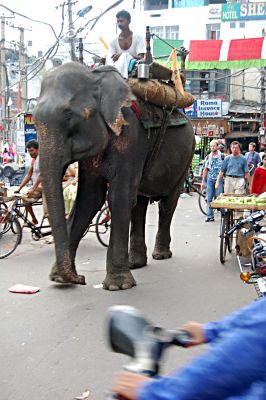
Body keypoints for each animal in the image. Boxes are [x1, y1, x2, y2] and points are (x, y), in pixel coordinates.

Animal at [33, 61, 195, 290]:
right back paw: (136, 263)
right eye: (34, 120)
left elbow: (117, 198)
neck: (96, 77)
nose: (80, 278)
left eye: (68, 116)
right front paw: (58, 278)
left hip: (186, 158)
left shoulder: (131, 138)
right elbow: (90, 198)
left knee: (167, 203)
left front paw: (118, 286)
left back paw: (161, 255)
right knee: (138, 204)